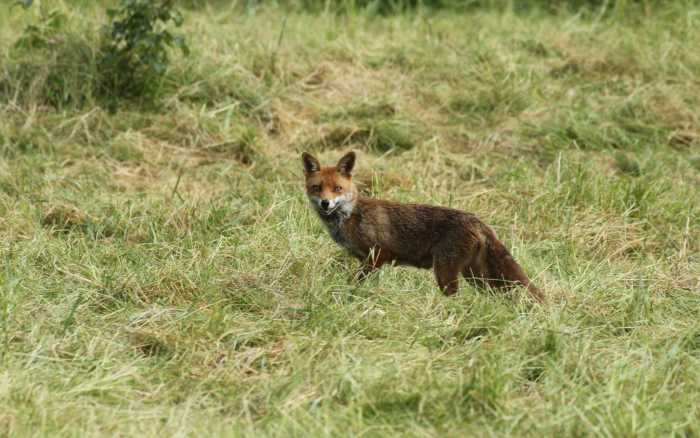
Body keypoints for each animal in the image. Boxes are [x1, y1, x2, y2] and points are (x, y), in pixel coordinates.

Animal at [298, 150, 544, 302]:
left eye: (337, 189)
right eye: (317, 188)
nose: (325, 203)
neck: (351, 216)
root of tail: (477, 220)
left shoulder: (376, 255)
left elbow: (354, 283)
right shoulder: (366, 260)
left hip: (446, 274)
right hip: (476, 277)